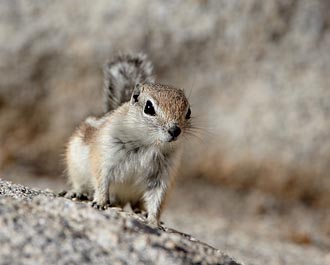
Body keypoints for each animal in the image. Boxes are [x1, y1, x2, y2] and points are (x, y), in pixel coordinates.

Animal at [62, 53, 191, 225]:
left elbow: (157, 199)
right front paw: (99, 202)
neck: (149, 144)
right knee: (80, 184)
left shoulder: (162, 175)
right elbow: (101, 181)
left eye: (189, 112)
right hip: (76, 167)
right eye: (149, 108)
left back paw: (140, 211)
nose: (175, 130)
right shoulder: (105, 156)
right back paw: (78, 193)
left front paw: (153, 220)